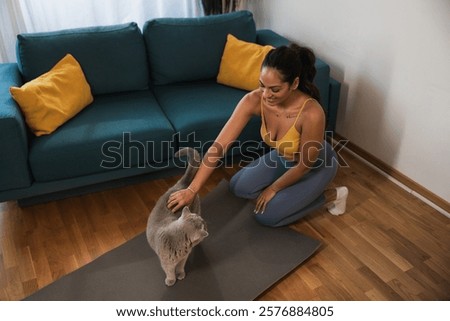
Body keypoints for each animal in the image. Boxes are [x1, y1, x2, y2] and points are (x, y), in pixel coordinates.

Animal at [145, 147, 208, 284]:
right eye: (203, 225)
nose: (205, 222)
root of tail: (183, 184)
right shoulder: (166, 262)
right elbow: (169, 272)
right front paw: (171, 280)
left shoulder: (183, 259)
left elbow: (180, 267)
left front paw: (181, 274)